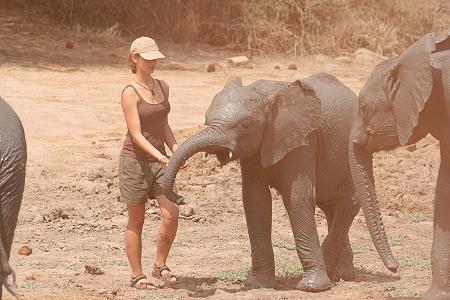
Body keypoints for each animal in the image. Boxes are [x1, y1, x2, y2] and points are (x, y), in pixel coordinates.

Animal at [163, 74, 360, 292]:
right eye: (206, 120)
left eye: (245, 126)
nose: (180, 198)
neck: (264, 97)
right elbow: (255, 200)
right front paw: (259, 285)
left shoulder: (304, 140)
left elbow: (298, 197)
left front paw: (313, 287)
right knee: (332, 207)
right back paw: (342, 275)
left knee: (348, 202)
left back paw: (339, 274)